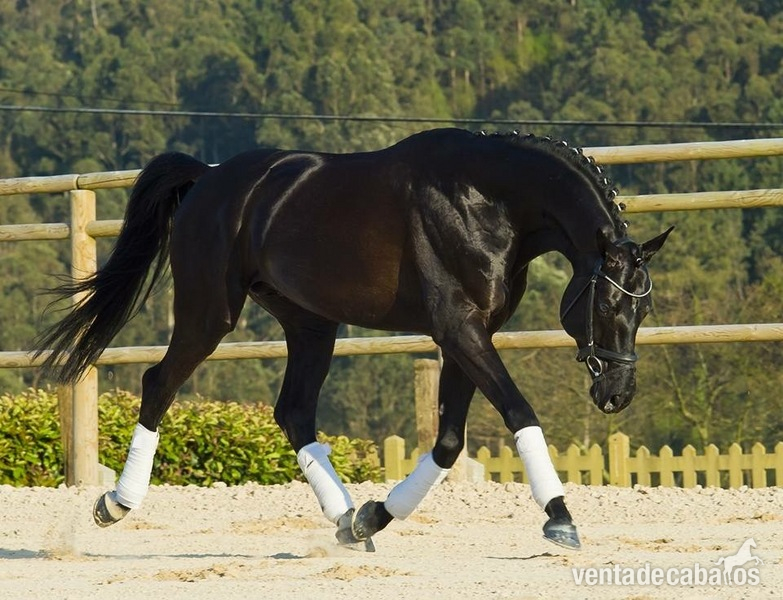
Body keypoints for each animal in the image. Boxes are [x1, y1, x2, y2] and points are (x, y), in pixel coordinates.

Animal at [35, 128, 673, 552]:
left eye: (645, 307)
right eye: (608, 302)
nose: (616, 394)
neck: (485, 198)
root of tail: (209, 179)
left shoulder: (469, 333)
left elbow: (448, 442)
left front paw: (372, 516)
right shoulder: (459, 328)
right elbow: (519, 411)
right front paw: (560, 518)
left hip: (311, 324)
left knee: (293, 412)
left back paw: (345, 520)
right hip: (209, 313)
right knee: (159, 383)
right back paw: (116, 504)